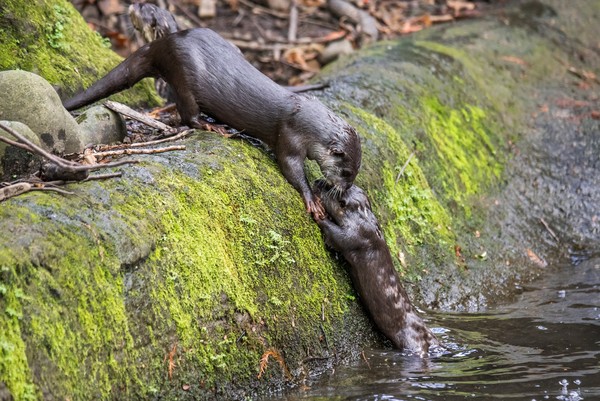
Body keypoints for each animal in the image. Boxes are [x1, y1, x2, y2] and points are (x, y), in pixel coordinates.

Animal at [63, 27, 360, 219]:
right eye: (346, 172)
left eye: (355, 173)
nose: (345, 192)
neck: (303, 116)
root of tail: (163, 43)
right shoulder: (289, 134)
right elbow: (290, 167)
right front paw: (312, 199)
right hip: (182, 74)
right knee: (188, 115)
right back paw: (213, 126)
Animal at [316, 180, 438, 354]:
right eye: (327, 183)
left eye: (327, 187)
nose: (316, 182)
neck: (363, 220)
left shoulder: (356, 235)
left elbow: (337, 237)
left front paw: (320, 216)